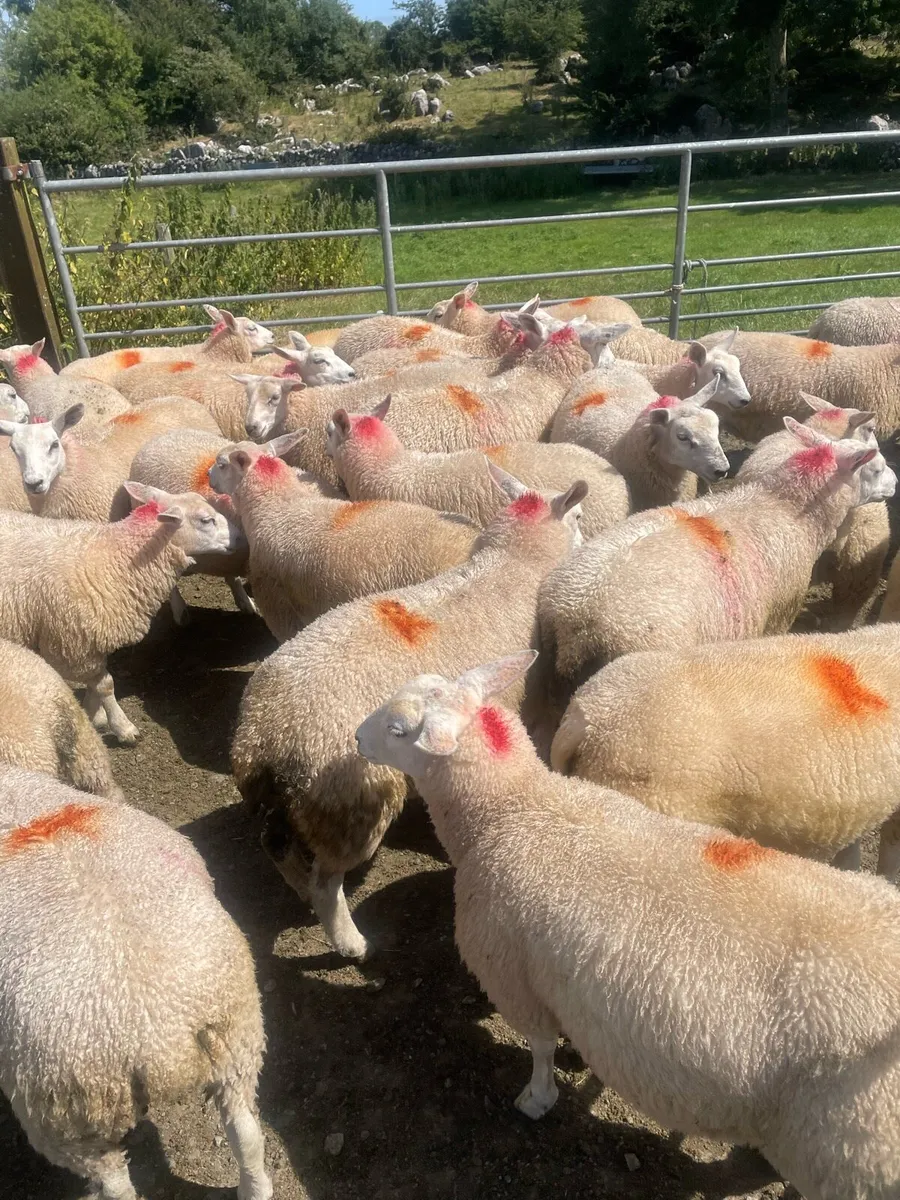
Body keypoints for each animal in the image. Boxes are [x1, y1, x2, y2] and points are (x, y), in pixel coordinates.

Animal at [0, 487, 241, 743]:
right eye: (206, 520)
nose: (239, 538)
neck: (117, 556)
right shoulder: (71, 646)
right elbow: (106, 685)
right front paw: (123, 727)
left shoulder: (90, 641)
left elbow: (96, 684)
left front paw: (94, 715)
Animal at [0, 768, 271, 1200]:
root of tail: (160, 1033)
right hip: (237, 1042)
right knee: (246, 1133)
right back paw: (255, 1188)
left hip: (68, 1120)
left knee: (114, 1183)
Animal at [230, 468, 586, 958]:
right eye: (580, 518)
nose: (588, 541)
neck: (510, 568)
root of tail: (265, 737)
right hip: (352, 804)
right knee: (327, 884)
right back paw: (352, 943)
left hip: (296, 808)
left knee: (278, 847)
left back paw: (299, 889)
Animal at [354, 652, 900, 1200]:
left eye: (397, 730)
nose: (356, 738)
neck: (516, 810)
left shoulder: (512, 975)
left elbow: (540, 1047)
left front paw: (537, 1099)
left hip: (846, 1154)